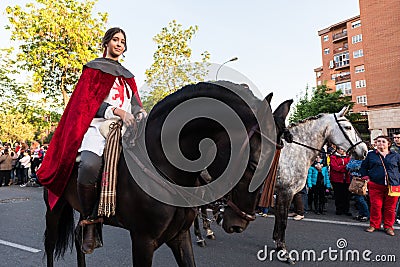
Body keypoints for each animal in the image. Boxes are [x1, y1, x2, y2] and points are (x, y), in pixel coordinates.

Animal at [43, 81, 292, 267]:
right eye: (252, 163)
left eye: (274, 165)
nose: (240, 223)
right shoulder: (143, 241)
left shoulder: (179, 237)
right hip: (54, 206)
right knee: (50, 243)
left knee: (80, 238)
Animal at [274, 107, 368, 264]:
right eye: (348, 127)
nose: (365, 151)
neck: (294, 150)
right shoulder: (285, 192)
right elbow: (282, 221)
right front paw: (283, 252)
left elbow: (279, 221)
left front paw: (278, 247)